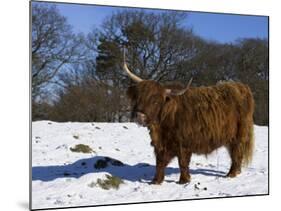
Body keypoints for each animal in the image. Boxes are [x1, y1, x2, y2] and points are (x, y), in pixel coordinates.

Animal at [122, 53, 254, 185]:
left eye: (155, 101)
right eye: (139, 97)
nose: (139, 116)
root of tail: (241, 86)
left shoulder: (184, 144)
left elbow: (183, 162)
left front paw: (184, 180)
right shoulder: (161, 144)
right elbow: (159, 162)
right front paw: (156, 181)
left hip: (239, 135)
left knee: (237, 153)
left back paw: (231, 174)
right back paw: (237, 171)